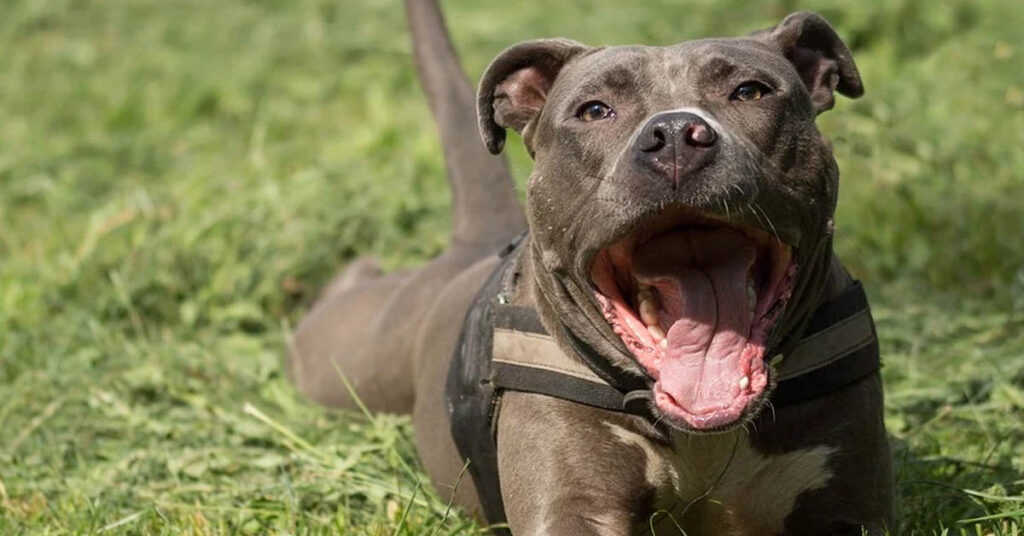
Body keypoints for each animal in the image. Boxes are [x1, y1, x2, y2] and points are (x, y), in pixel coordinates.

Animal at [284, 2, 892, 532]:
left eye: (750, 91)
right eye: (595, 110)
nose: (676, 134)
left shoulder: (850, 503)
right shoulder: (572, 504)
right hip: (346, 361)